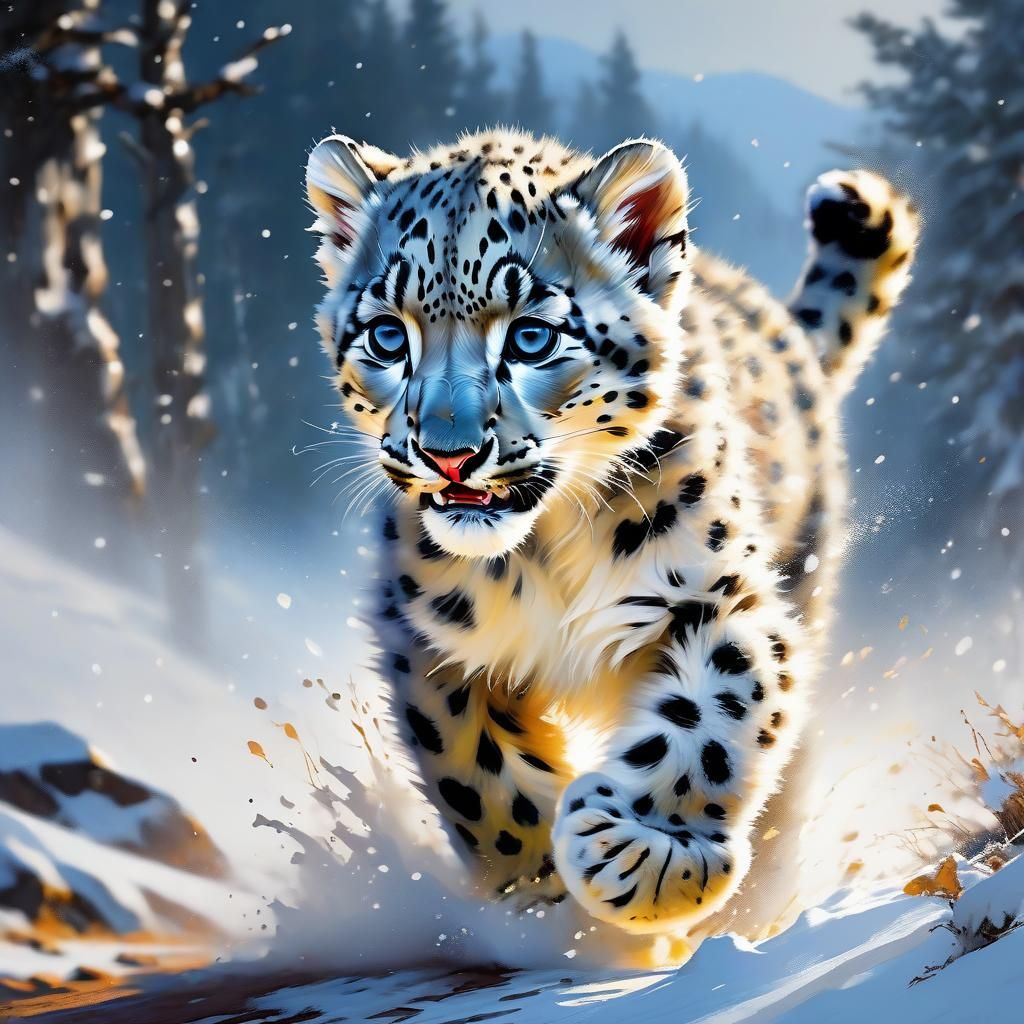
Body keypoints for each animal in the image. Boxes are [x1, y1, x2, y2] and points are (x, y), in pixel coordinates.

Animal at [303, 128, 919, 941]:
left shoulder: (721, 593)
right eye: (386, 336)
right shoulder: (428, 640)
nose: (449, 454)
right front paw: (556, 913)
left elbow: (718, 711)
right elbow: (479, 778)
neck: (545, 547)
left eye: (531, 337)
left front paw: (647, 854)